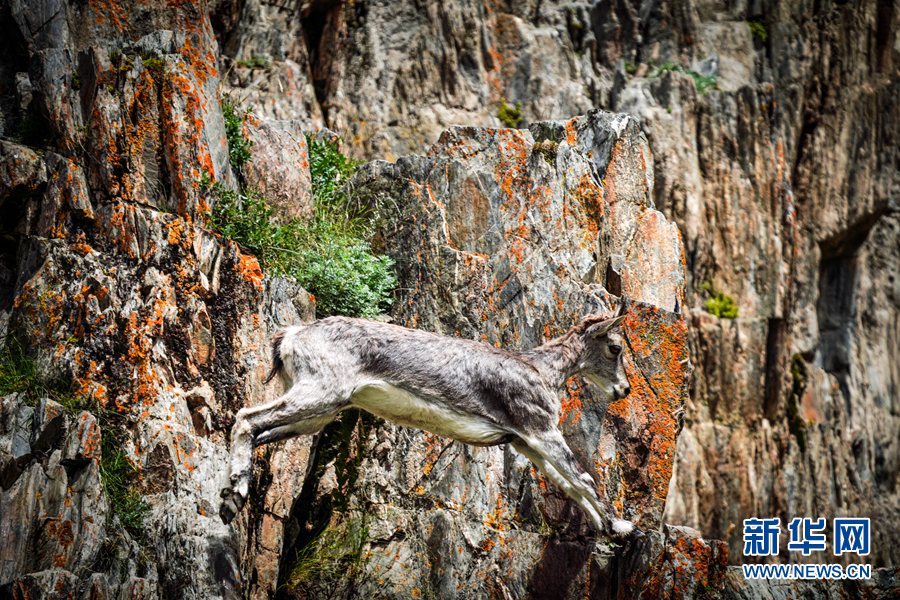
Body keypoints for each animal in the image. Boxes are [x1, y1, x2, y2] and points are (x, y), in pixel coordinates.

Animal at [219, 302, 642, 542]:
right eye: (615, 347)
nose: (623, 389)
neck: (541, 371)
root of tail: (292, 336)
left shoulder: (524, 442)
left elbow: (570, 483)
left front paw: (607, 529)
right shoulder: (539, 429)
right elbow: (582, 477)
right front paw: (622, 527)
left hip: (319, 410)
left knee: (261, 429)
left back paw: (231, 495)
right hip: (321, 391)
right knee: (246, 418)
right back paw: (234, 494)